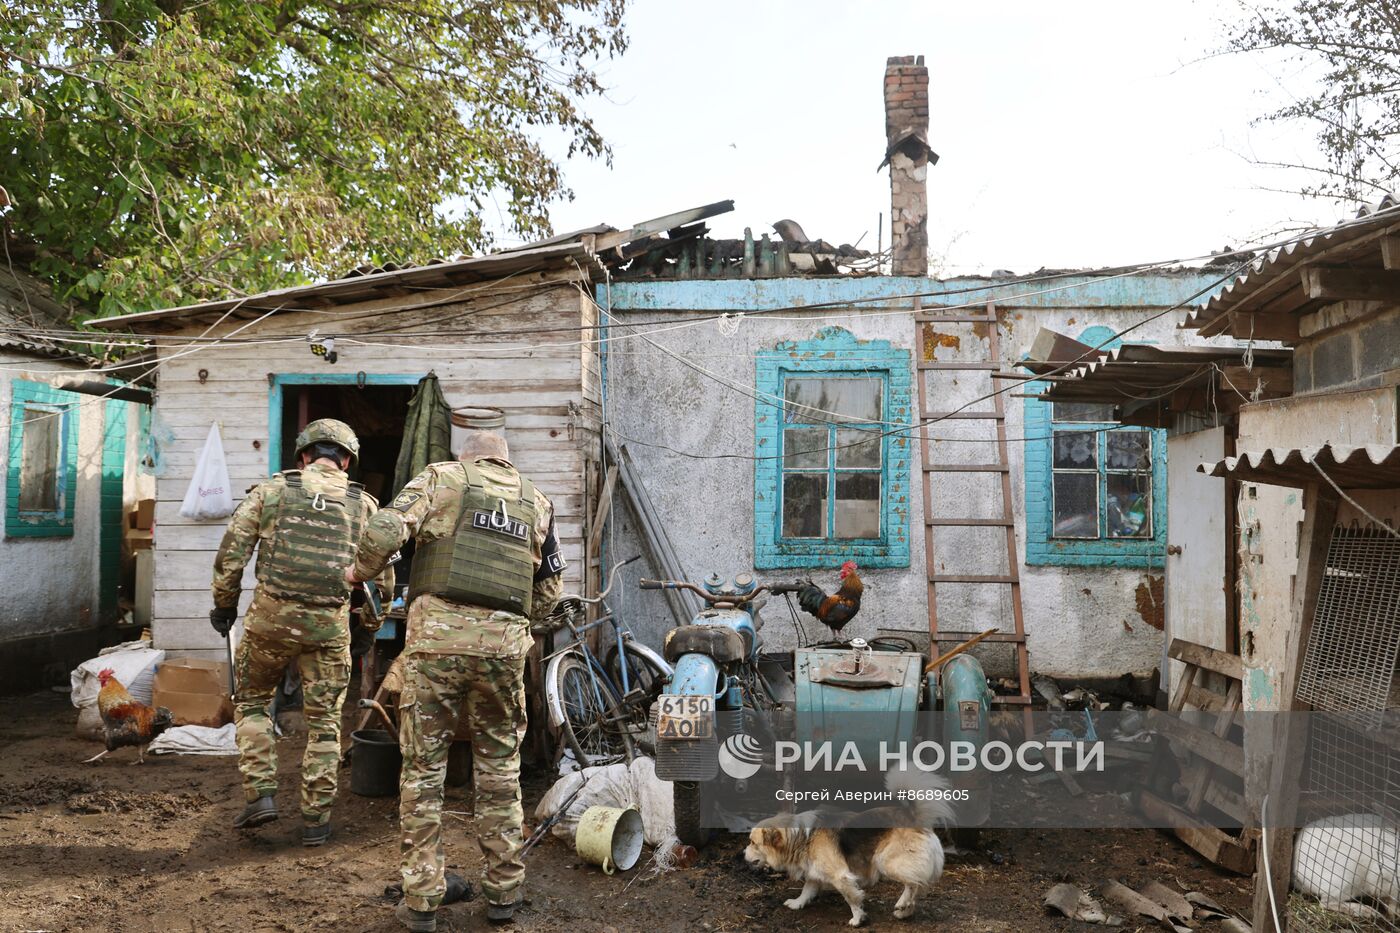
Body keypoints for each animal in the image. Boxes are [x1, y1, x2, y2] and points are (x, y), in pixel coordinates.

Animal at [744, 767, 952, 924]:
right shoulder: (815, 870)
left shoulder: (840, 875)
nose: (742, 854)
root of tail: (912, 815)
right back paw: (905, 911)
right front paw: (797, 903)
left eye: (753, 842)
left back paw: (902, 904)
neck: (801, 836)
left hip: (886, 860)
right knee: (918, 886)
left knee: (914, 883)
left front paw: (858, 919)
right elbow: (807, 889)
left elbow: (852, 897)